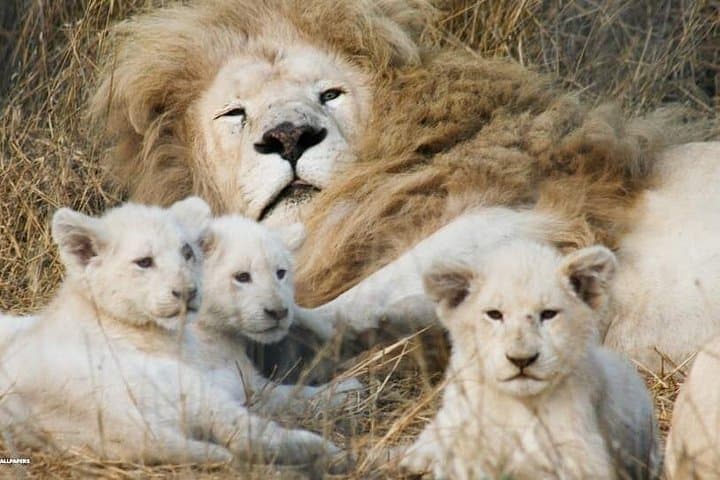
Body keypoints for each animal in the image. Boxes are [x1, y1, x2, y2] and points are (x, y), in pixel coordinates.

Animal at [0, 199, 344, 469]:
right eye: (144, 262)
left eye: (187, 253)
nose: (279, 312)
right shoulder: (225, 380)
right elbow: (287, 394)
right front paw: (344, 389)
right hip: (179, 385)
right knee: (245, 433)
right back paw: (325, 451)